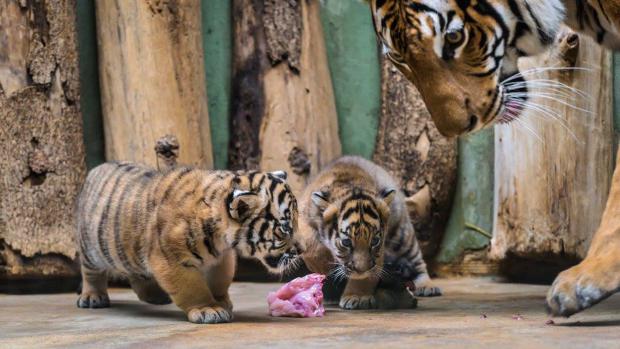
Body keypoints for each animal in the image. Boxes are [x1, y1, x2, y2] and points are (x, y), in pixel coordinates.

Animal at [75, 162, 300, 322]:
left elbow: (219, 281)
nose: (301, 250)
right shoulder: (170, 259)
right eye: (284, 230)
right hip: (91, 249)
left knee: (137, 274)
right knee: (91, 273)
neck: (221, 238)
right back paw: (93, 297)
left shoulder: (221, 259)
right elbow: (192, 287)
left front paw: (222, 302)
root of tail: (96, 169)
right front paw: (208, 309)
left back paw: (156, 297)